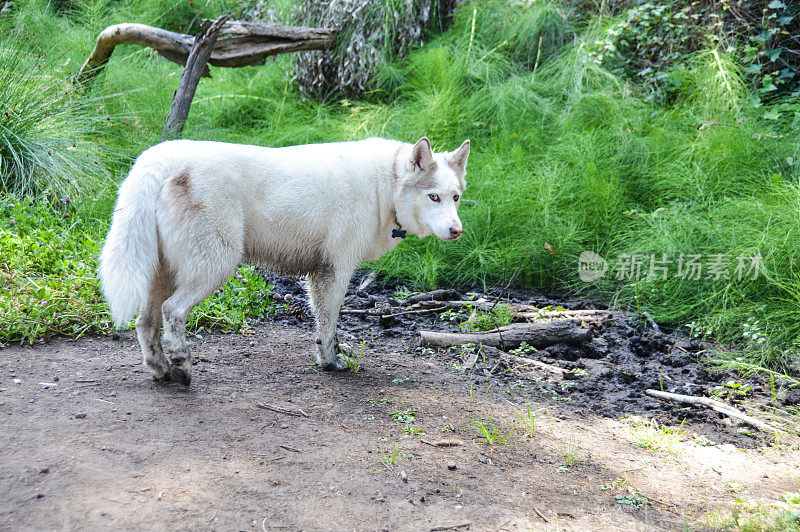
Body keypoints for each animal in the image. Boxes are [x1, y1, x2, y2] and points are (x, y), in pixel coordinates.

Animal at [99, 136, 468, 382]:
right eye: (433, 197)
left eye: (455, 197)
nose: (457, 231)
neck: (384, 185)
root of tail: (159, 158)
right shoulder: (336, 272)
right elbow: (329, 327)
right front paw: (333, 364)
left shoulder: (319, 276)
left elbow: (322, 327)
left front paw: (327, 359)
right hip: (214, 269)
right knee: (171, 312)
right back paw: (181, 365)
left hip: (163, 276)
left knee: (145, 323)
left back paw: (161, 371)